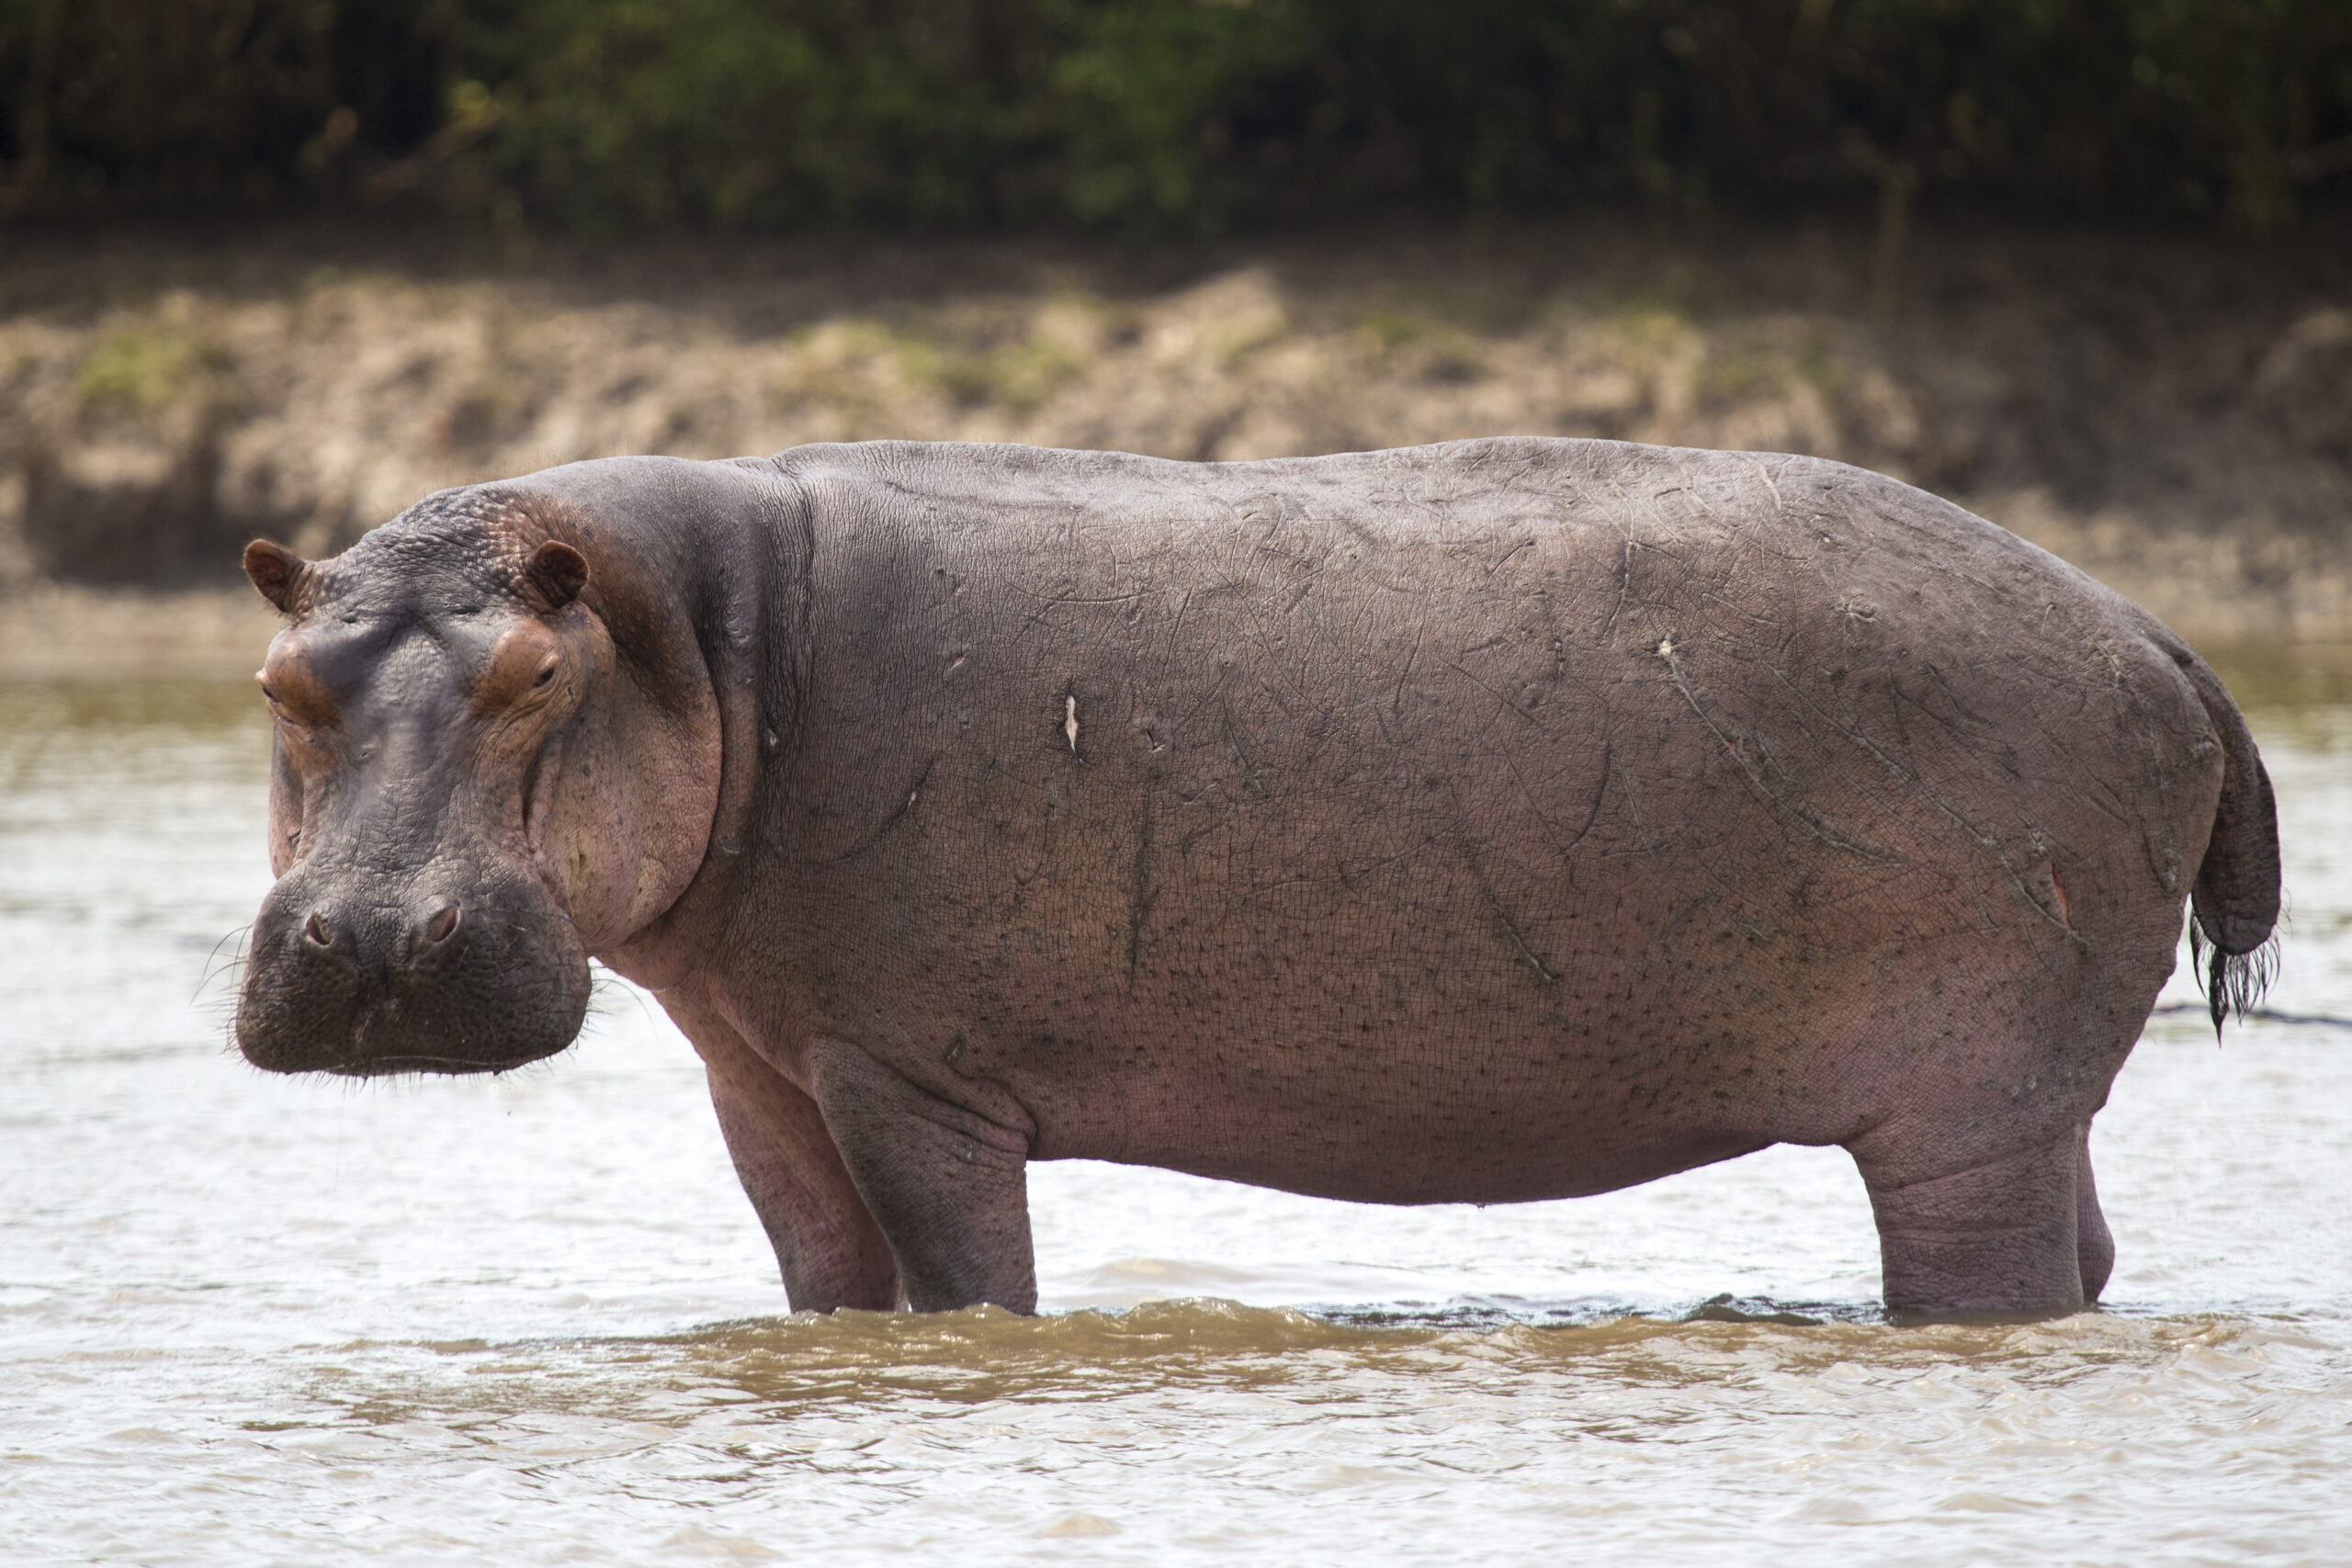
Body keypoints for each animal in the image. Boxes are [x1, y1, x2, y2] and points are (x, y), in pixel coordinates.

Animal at [234, 438, 2279, 1320]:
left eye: (532, 675)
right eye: (277, 680)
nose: (373, 942)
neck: (709, 642)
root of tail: (2159, 635)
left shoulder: (911, 1078)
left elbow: (963, 1286)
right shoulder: (766, 1072)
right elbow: (826, 1286)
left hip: (1963, 1103)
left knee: (1994, 1267)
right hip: (2027, 1093)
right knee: (2089, 1252)